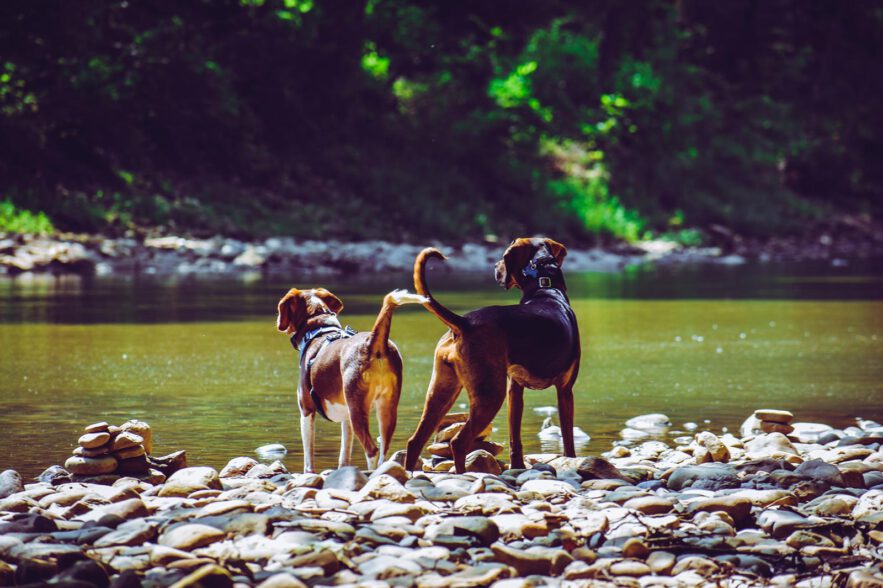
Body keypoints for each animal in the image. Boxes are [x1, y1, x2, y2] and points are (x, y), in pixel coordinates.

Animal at [276, 288, 428, 470]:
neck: (319, 329)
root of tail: (373, 342)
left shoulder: (306, 411)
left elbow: (308, 458)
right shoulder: (346, 417)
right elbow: (344, 455)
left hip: (358, 411)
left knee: (372, 450)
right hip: (386, 409)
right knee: (384, 450)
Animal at [406, 239, 584, 474]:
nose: (494, 267)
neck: (545, 288)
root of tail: (464, 322)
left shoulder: (515, 390)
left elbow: (515, 438)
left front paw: (517, 467)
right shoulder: (565, 390)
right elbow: (568, 438)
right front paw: (570, 460)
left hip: (441, 392)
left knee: (415, 441)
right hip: (489, 395)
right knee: (458, 442)